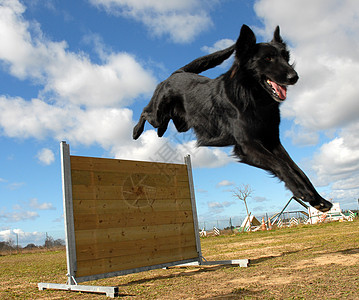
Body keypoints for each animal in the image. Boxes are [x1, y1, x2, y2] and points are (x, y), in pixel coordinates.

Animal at [135, 26, 334, 213]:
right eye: (268, 58)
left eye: (286, 57)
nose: (294, 77)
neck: (254, 98)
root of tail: (177, 73)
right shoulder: (248, 145)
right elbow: (282, 166)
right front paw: (303, 192)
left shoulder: (272, 141)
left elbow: (298, 170)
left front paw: (319, 199)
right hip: (158, 114)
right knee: (145, 112)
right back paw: (136, 131)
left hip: (180, 123)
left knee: (163, 123)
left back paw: (160, 132)